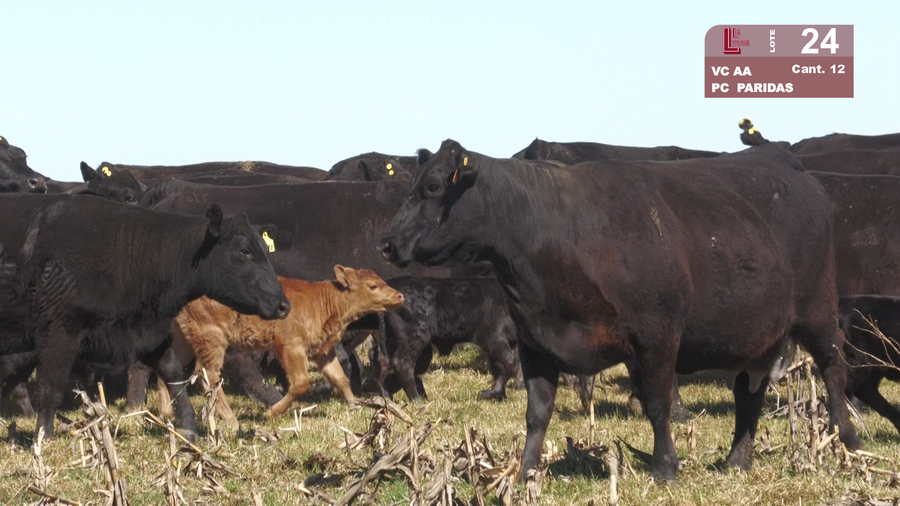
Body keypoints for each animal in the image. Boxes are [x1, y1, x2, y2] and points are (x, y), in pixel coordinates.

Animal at [0, 194, 289, 438]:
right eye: (244, 251)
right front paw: (43, 438)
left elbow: (173, 375)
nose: (283, 305)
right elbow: (50, 387)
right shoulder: (59, 332)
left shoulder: (148, 333)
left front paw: (188, 429)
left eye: (265, 249)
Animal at [156, 266, 403, 426]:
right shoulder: (291, 347)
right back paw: (232, 421)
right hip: (212, 338)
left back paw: (167, 412)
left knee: (168, 366)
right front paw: (271, 412)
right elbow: (301, 383)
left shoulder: (323, 351)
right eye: (372, 286)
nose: (399, 295)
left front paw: (354, 403)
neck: (323, 300)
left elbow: (339, 377)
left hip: (185, 339)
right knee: (209, 375)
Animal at [372, 276, 518, 401]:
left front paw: (500, 397)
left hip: (406, 346)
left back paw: (388, 398)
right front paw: (491, 393)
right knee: (402, 364)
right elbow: (511, 365)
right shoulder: (494, 339)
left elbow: (499, 368)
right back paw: (416, 401)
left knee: (384, 364)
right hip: (415, 337)